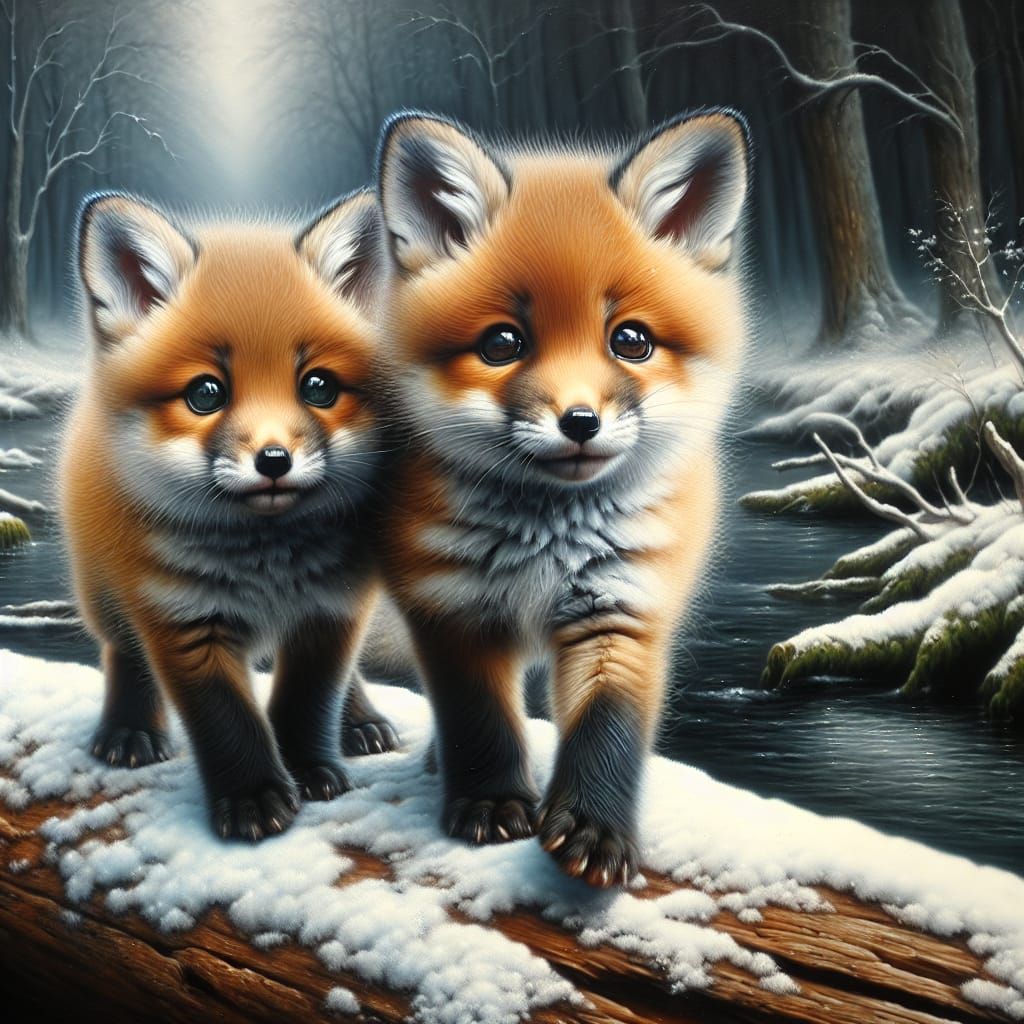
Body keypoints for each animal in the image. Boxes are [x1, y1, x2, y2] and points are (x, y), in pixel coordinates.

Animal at [60, 190, 399, 841]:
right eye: (205, 394)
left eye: (318, 386)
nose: (274, 460)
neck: (266, 566)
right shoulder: (182, 617)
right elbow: (226, 721)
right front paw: (253, 797)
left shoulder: (332, 607)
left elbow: (308, 699)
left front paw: (310, 767)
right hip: (102, 590)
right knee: (123, 652)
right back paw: (129, 729)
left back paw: (361, 721)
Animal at [371, 110, 750, 886]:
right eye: (502, 343)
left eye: (631, 340)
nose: (580, 422)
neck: (548, 538)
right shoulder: (450, 605)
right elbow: (478, 717)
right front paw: (489, 800)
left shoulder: (624, 605)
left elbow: (606, 731)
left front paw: (596, 829)